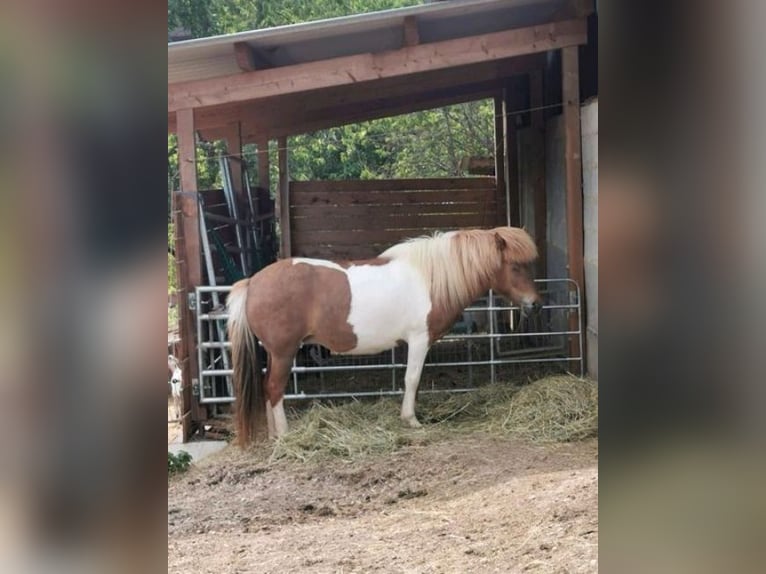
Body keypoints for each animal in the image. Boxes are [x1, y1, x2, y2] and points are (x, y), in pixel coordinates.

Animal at [225, 226, 544, 446]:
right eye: (515, 266)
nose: (535, 304)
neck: (431, 277)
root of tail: (253, 283)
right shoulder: (419, 340)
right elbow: (412, 379)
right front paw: (411, 420)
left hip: (273, 353)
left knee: (268, 388)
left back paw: (272, 435)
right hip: (283, 352)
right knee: (275, 388)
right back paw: (285, 436)